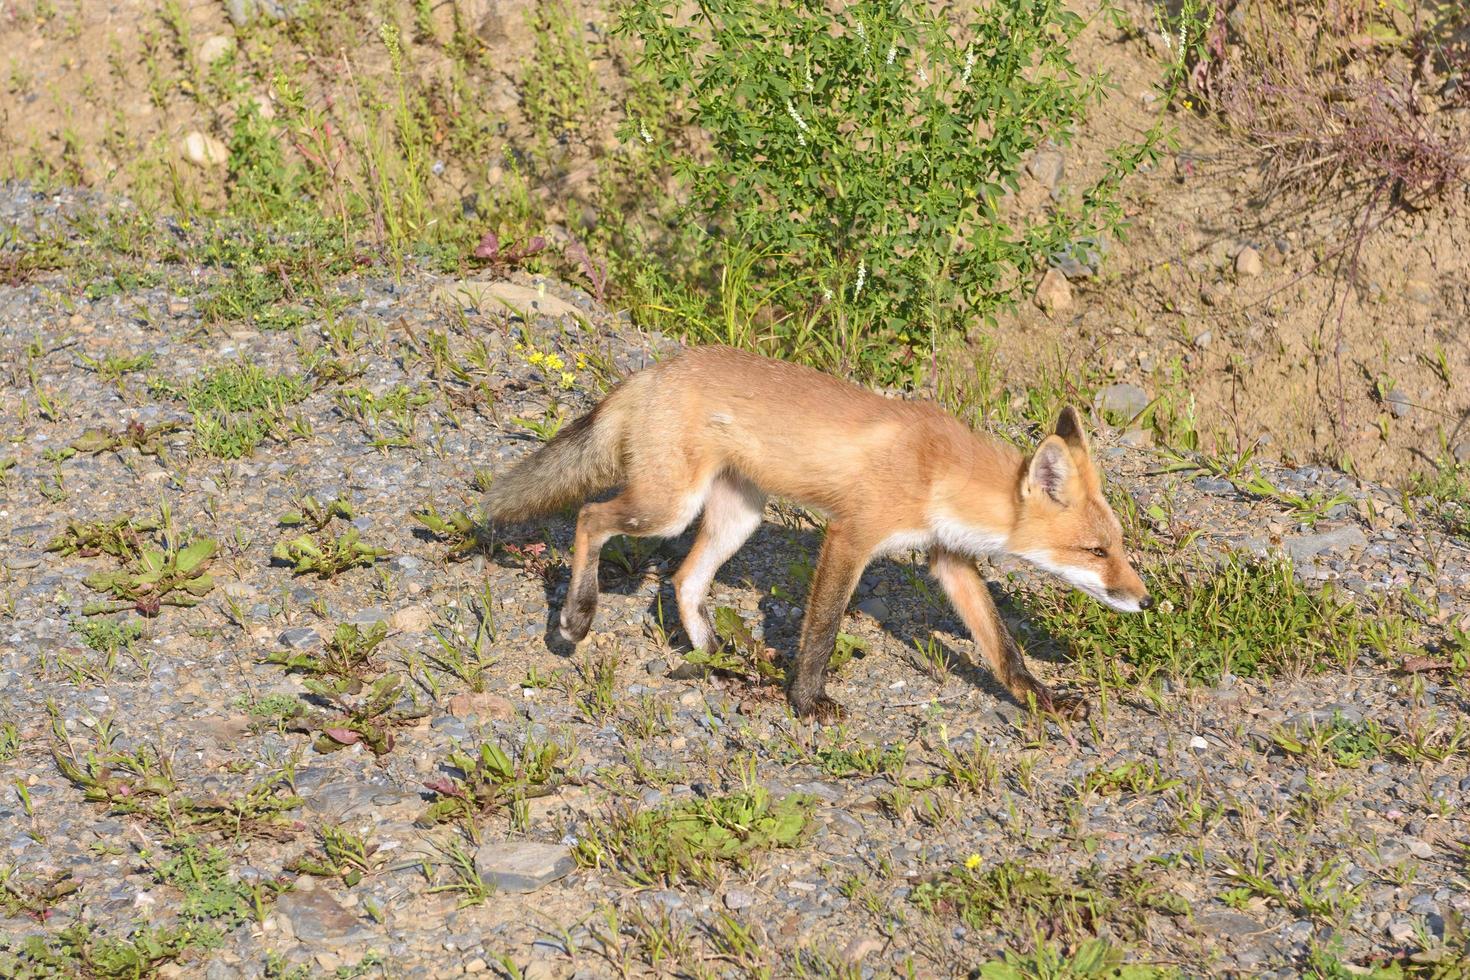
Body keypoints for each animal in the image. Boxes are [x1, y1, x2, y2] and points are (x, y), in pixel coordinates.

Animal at [488, 345, 1152, 719]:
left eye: (1119, 547)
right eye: (1094, 551)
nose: (1144, 600)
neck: (937, 469)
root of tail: (650, 373)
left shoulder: (950, 559)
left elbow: (1002, 646)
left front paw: (1042, 699)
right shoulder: (850, 536)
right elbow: (824, 631)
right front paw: (808, 703)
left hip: (739, 516)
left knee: (683, 580)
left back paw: (718, 659)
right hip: (666, 507)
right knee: (589, 518)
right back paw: (577, 616)